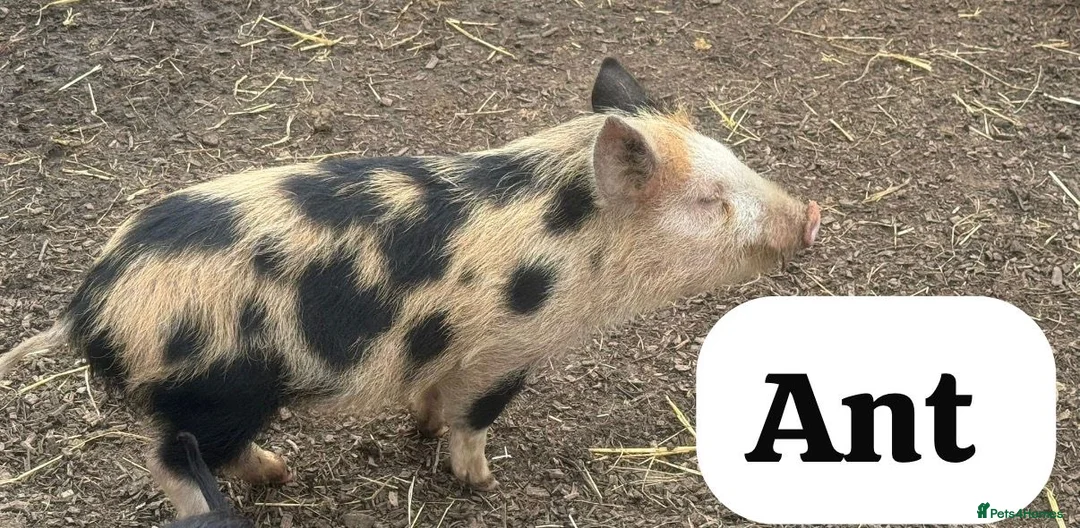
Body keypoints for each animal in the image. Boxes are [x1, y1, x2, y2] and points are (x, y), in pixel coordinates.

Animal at [0, 57, 820, 520]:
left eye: (735, 159)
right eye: (710, 202)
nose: (812, 214)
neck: (573, 257)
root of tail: (89, 306)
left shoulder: (453, 349)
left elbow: (434, 395)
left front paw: (422, 429)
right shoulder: (509, 349)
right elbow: (476, 416)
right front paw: (481, 484)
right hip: (221, 383)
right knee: (173, 458)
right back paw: (261, 480)